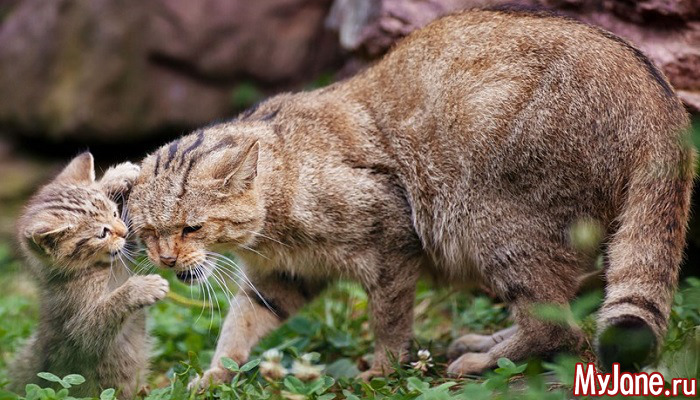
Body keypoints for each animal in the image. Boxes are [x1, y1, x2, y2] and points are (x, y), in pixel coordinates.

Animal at [9, 152, 170, 399]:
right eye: (102, 233)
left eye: (114, 213)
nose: (123, 231)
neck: (95, 268)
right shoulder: (79, 326)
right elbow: (100, 319)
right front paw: (142, 288)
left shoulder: (125, 252)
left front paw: (116, 177)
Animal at [128, 8, 694, 384]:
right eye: (150, 232)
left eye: (191, 227)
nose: (167, 259)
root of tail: (659, 98)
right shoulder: (282, 278)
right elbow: (239, 327)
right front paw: (212, 379)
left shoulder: (392, 242)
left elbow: (389, 320)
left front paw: (379, 372)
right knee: (565, 312)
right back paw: (488, 342)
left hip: (496, 225)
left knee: (557, 327)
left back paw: (482, 359)